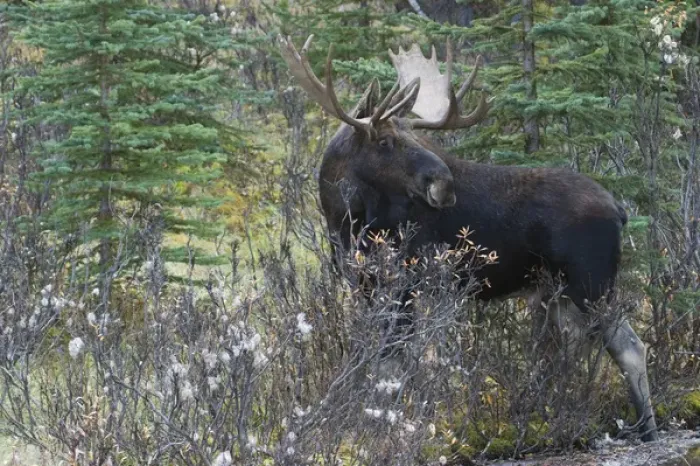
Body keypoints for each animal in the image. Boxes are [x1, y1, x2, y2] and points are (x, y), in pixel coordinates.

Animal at [278, 34, 659, 442]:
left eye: (415, 136)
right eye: (384, 141)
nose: (444, 183)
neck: (343, 216)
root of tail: (619, 210)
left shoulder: (406, 284)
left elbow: (395, 364)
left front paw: (393, 425)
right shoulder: (366, 285)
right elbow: (381, 363)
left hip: (591, 283)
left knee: (629, 346)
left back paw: (644, 427)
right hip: (557, 292)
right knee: (573, 350)